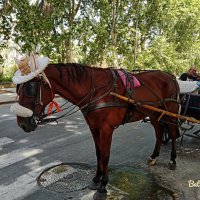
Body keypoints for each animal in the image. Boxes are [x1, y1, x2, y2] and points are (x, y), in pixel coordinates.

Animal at [13, 63, 180, 200]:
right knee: (159, 132)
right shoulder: (94, 127)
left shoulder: (106, 129)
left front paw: (103, 186)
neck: (95, 90)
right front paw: (96, 179)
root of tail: (171, 76)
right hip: (154, 114)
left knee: (172, 134)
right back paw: (154, 156)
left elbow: (105, 156)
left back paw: (173, 160)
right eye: (18, 88)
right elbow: (98, 153)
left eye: (30, 88)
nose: (22, 124)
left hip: (171, 113)